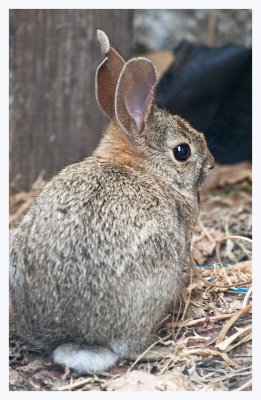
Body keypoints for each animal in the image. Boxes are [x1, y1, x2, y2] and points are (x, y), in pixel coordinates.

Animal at [9, 29, 214, 374]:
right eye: (182, 151)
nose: (210, 163)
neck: (142, 168)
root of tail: (79, 338)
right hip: (157, 281)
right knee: (131, 348)